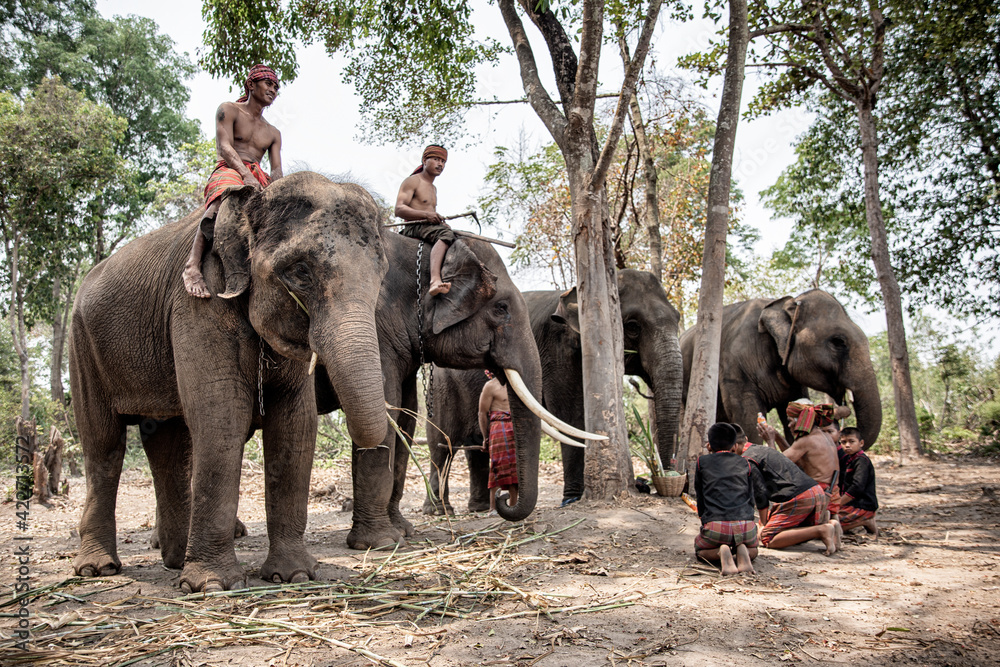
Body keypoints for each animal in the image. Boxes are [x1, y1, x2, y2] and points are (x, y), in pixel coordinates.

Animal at [69, 173, 389, 593]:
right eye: (300, 272)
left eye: (381, 275)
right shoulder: (199, 301)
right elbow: (222, 418)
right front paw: (213, 585)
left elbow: (296, 425)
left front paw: (294, 575)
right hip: (82, 346)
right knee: (103, 444)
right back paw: (99, 569)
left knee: (167, 442)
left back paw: (175, 562)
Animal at [423, 268, 684, 513]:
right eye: (632, 327)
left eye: (678, 318)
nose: (659, 481)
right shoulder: (557, 351)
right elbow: (570, 416)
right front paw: (572, 499)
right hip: (442, 388)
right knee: (442, 446)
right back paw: (439, 511)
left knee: (477, 448)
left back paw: (478, 509)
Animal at [680, 289, 882, 449]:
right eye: (838, 342)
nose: (843, 409)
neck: (786, 304)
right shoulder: (734, 367)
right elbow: (747, 416)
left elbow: (790, 413)